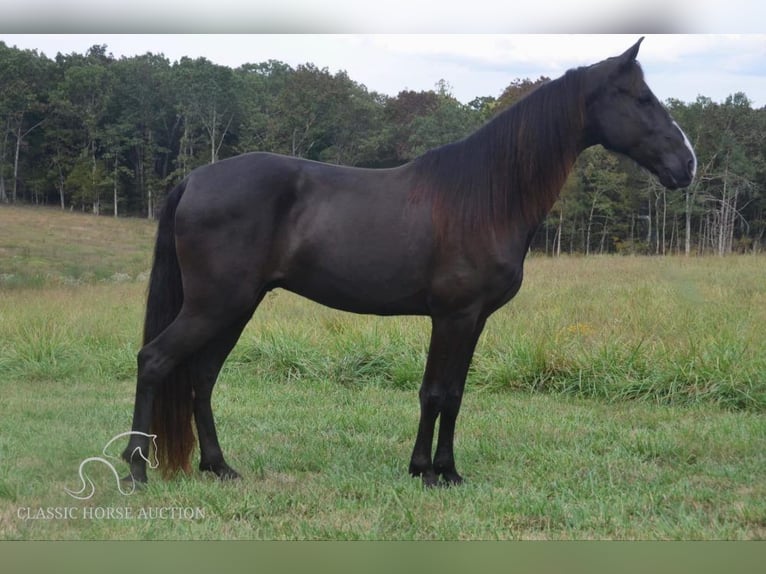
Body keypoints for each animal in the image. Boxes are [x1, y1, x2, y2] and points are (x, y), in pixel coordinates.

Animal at [124, 37, 696, 486]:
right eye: (641, 98)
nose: (686, 164)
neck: (485, 197)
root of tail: (195, 179)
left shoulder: (473, 320)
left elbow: (455, 393)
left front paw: (445, 469)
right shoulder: (453, 315)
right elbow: (436, 392)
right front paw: (428, 471)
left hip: (235, 307)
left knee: (201, 376)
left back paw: (219, 466)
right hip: (215, 306)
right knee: (155, 361)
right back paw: (135, 470)